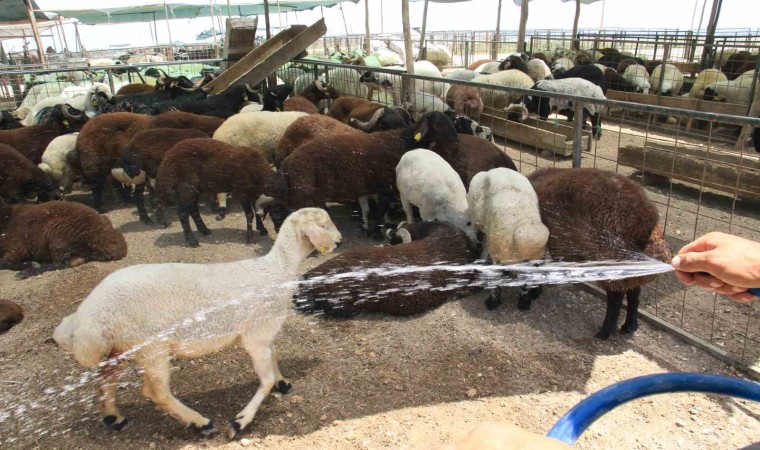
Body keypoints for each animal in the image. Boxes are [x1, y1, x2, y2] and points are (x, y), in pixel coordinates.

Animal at [53, 207, 341, 436]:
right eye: (325, 224)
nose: (339, 241)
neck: (278, 269)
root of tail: (85, 317)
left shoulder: (263, 332)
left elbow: (275, 354)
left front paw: (283, 382)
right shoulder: (256, 335)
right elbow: (266, 378)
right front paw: (240, 421)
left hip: (121, 346)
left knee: (106, 380)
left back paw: (113, 417)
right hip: (150, 346)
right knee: (156, 392)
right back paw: (200, 423)